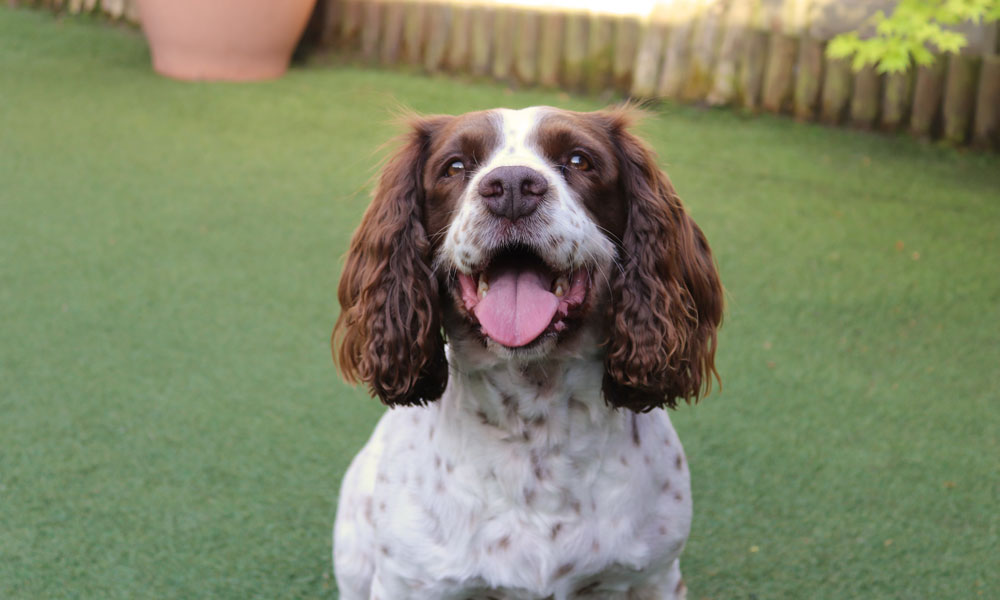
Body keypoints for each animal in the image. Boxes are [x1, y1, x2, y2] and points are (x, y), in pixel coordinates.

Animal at [332, 105, 724, 596]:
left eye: (578, 160)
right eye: (454, 166)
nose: (513, 187)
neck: (536, 427)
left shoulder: (654, 577)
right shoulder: (411, 583)